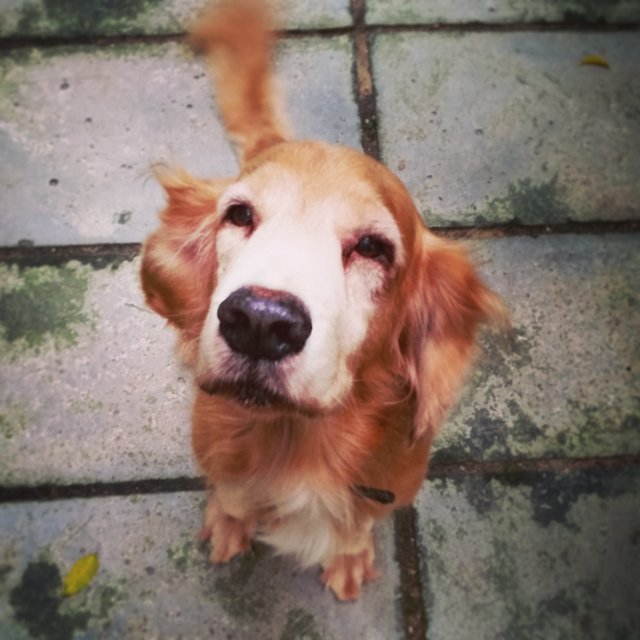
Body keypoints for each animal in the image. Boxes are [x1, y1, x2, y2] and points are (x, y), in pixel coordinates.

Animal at [141, 0, 504, 600]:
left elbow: (356, 525)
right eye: (239, 215)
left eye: (373, 248)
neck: (296, 449)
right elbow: (234, 495)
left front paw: (349, 556)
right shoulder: (220, 455)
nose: (260, 321)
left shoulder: (388, 484)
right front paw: (230, 522)